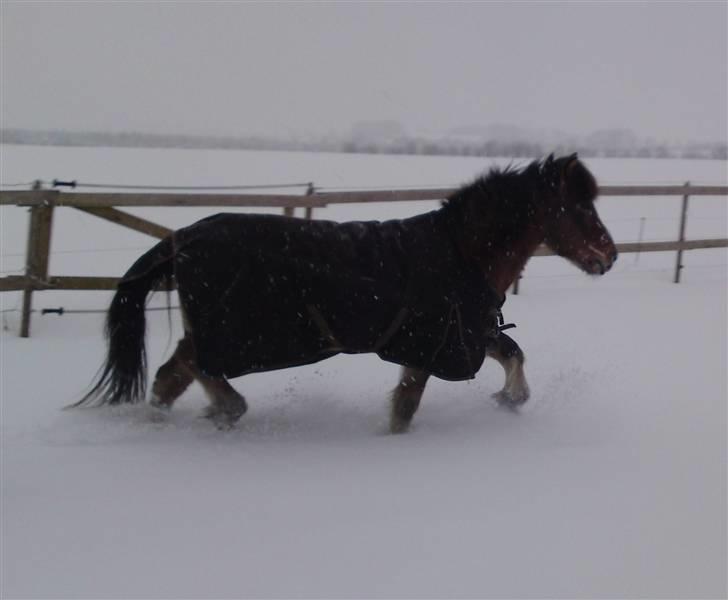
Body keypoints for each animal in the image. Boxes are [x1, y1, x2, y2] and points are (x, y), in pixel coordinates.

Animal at [78, 154, 616, 436]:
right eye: (579, 209)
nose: (608, 257)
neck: (460, 252)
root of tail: (184, 237)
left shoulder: (464, 332)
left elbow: (514, 355)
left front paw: (508, 400)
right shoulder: (431, 344)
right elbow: (405, 407)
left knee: (172, 377)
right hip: (231, 334)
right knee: (196, 372)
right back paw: (225, 411)